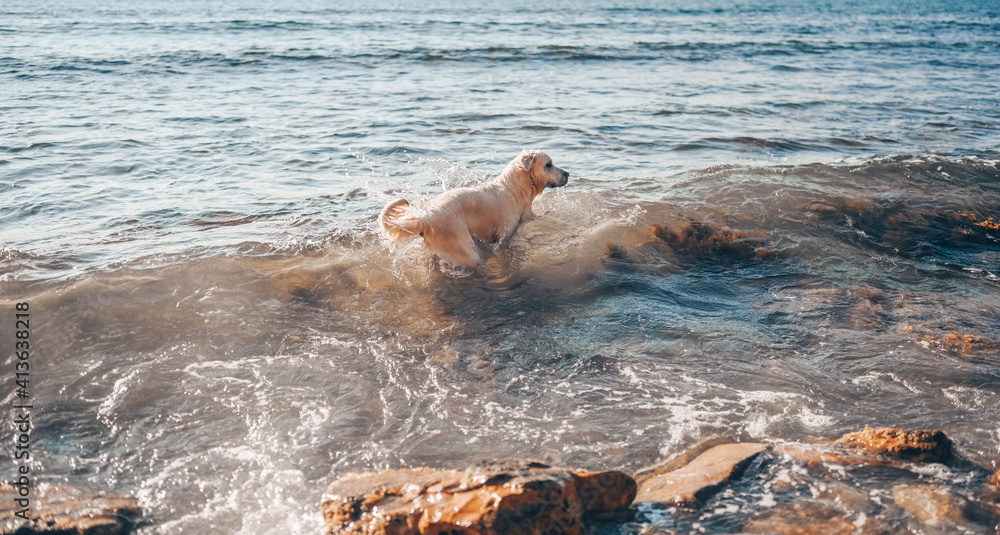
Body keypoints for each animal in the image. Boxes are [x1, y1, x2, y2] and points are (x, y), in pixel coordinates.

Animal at [378, 149, 572, 270]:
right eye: (548, 164)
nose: (568, 173)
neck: (514, 189)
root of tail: (427, 217)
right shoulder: (503, 237)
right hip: (467, 251)